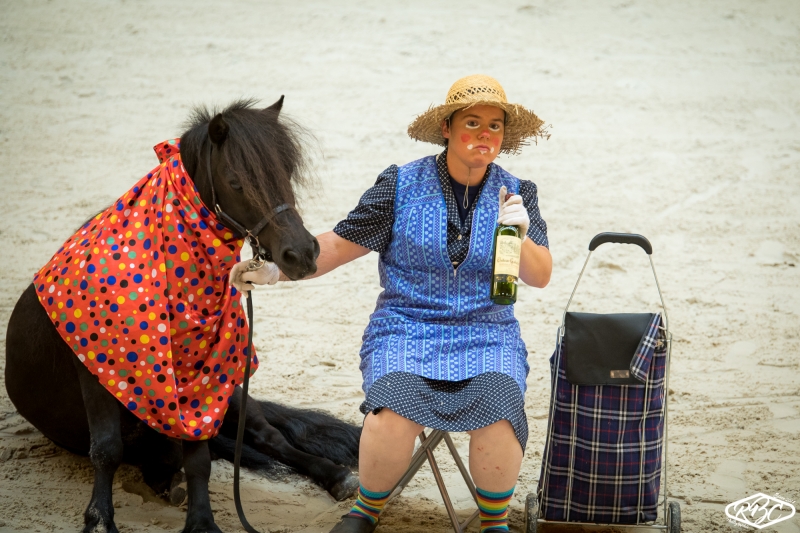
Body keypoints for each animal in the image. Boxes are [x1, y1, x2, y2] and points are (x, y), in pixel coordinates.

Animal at [4, 96, 360, 532]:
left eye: (286, 172)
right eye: (236, 182)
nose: (304, 254)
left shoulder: (206, 383)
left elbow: (200, 461)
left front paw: (202, 521)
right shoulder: (96, 372)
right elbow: (105, 449)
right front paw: (100, 520)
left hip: (235, 394)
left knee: (268, 438)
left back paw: (336, 476)